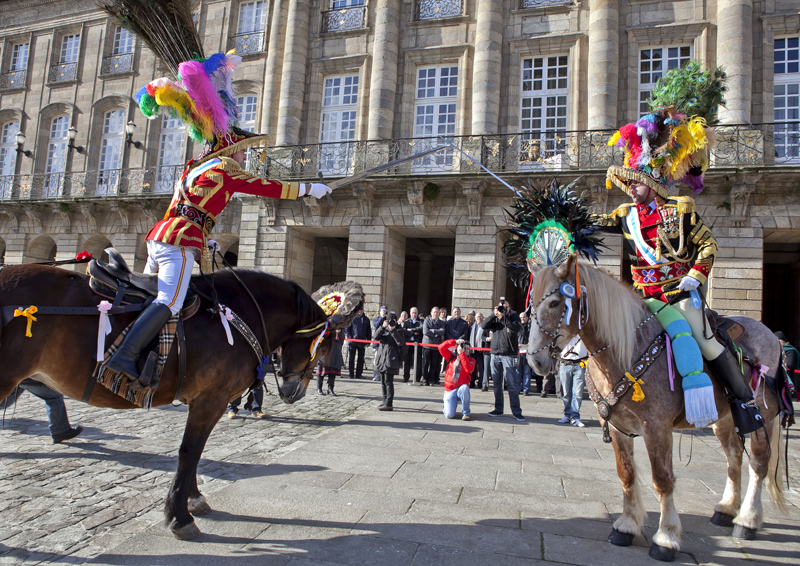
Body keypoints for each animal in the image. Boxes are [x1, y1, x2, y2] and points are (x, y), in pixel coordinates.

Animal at [0, 266, 334, 540]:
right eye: (322, 346)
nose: (293, 392)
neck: (237, 311)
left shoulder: (201, 400)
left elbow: (195, 454)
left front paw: (193, 499)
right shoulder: (211, 399)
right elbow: (190, 452)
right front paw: (179, 517)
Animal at [528, 258, 784, 564]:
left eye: (555, 303)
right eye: (531, 303)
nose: (535, 361)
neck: (623, 351)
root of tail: (771, 335)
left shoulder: (657, 427)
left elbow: (662, 479)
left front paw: (666, 538)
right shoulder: (616, 425)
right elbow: (626, 474)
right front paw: (626, 526)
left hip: (762, 415)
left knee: (758, 463)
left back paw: (747, 520)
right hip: (722, 418)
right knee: (733, 456)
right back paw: (726, 509)